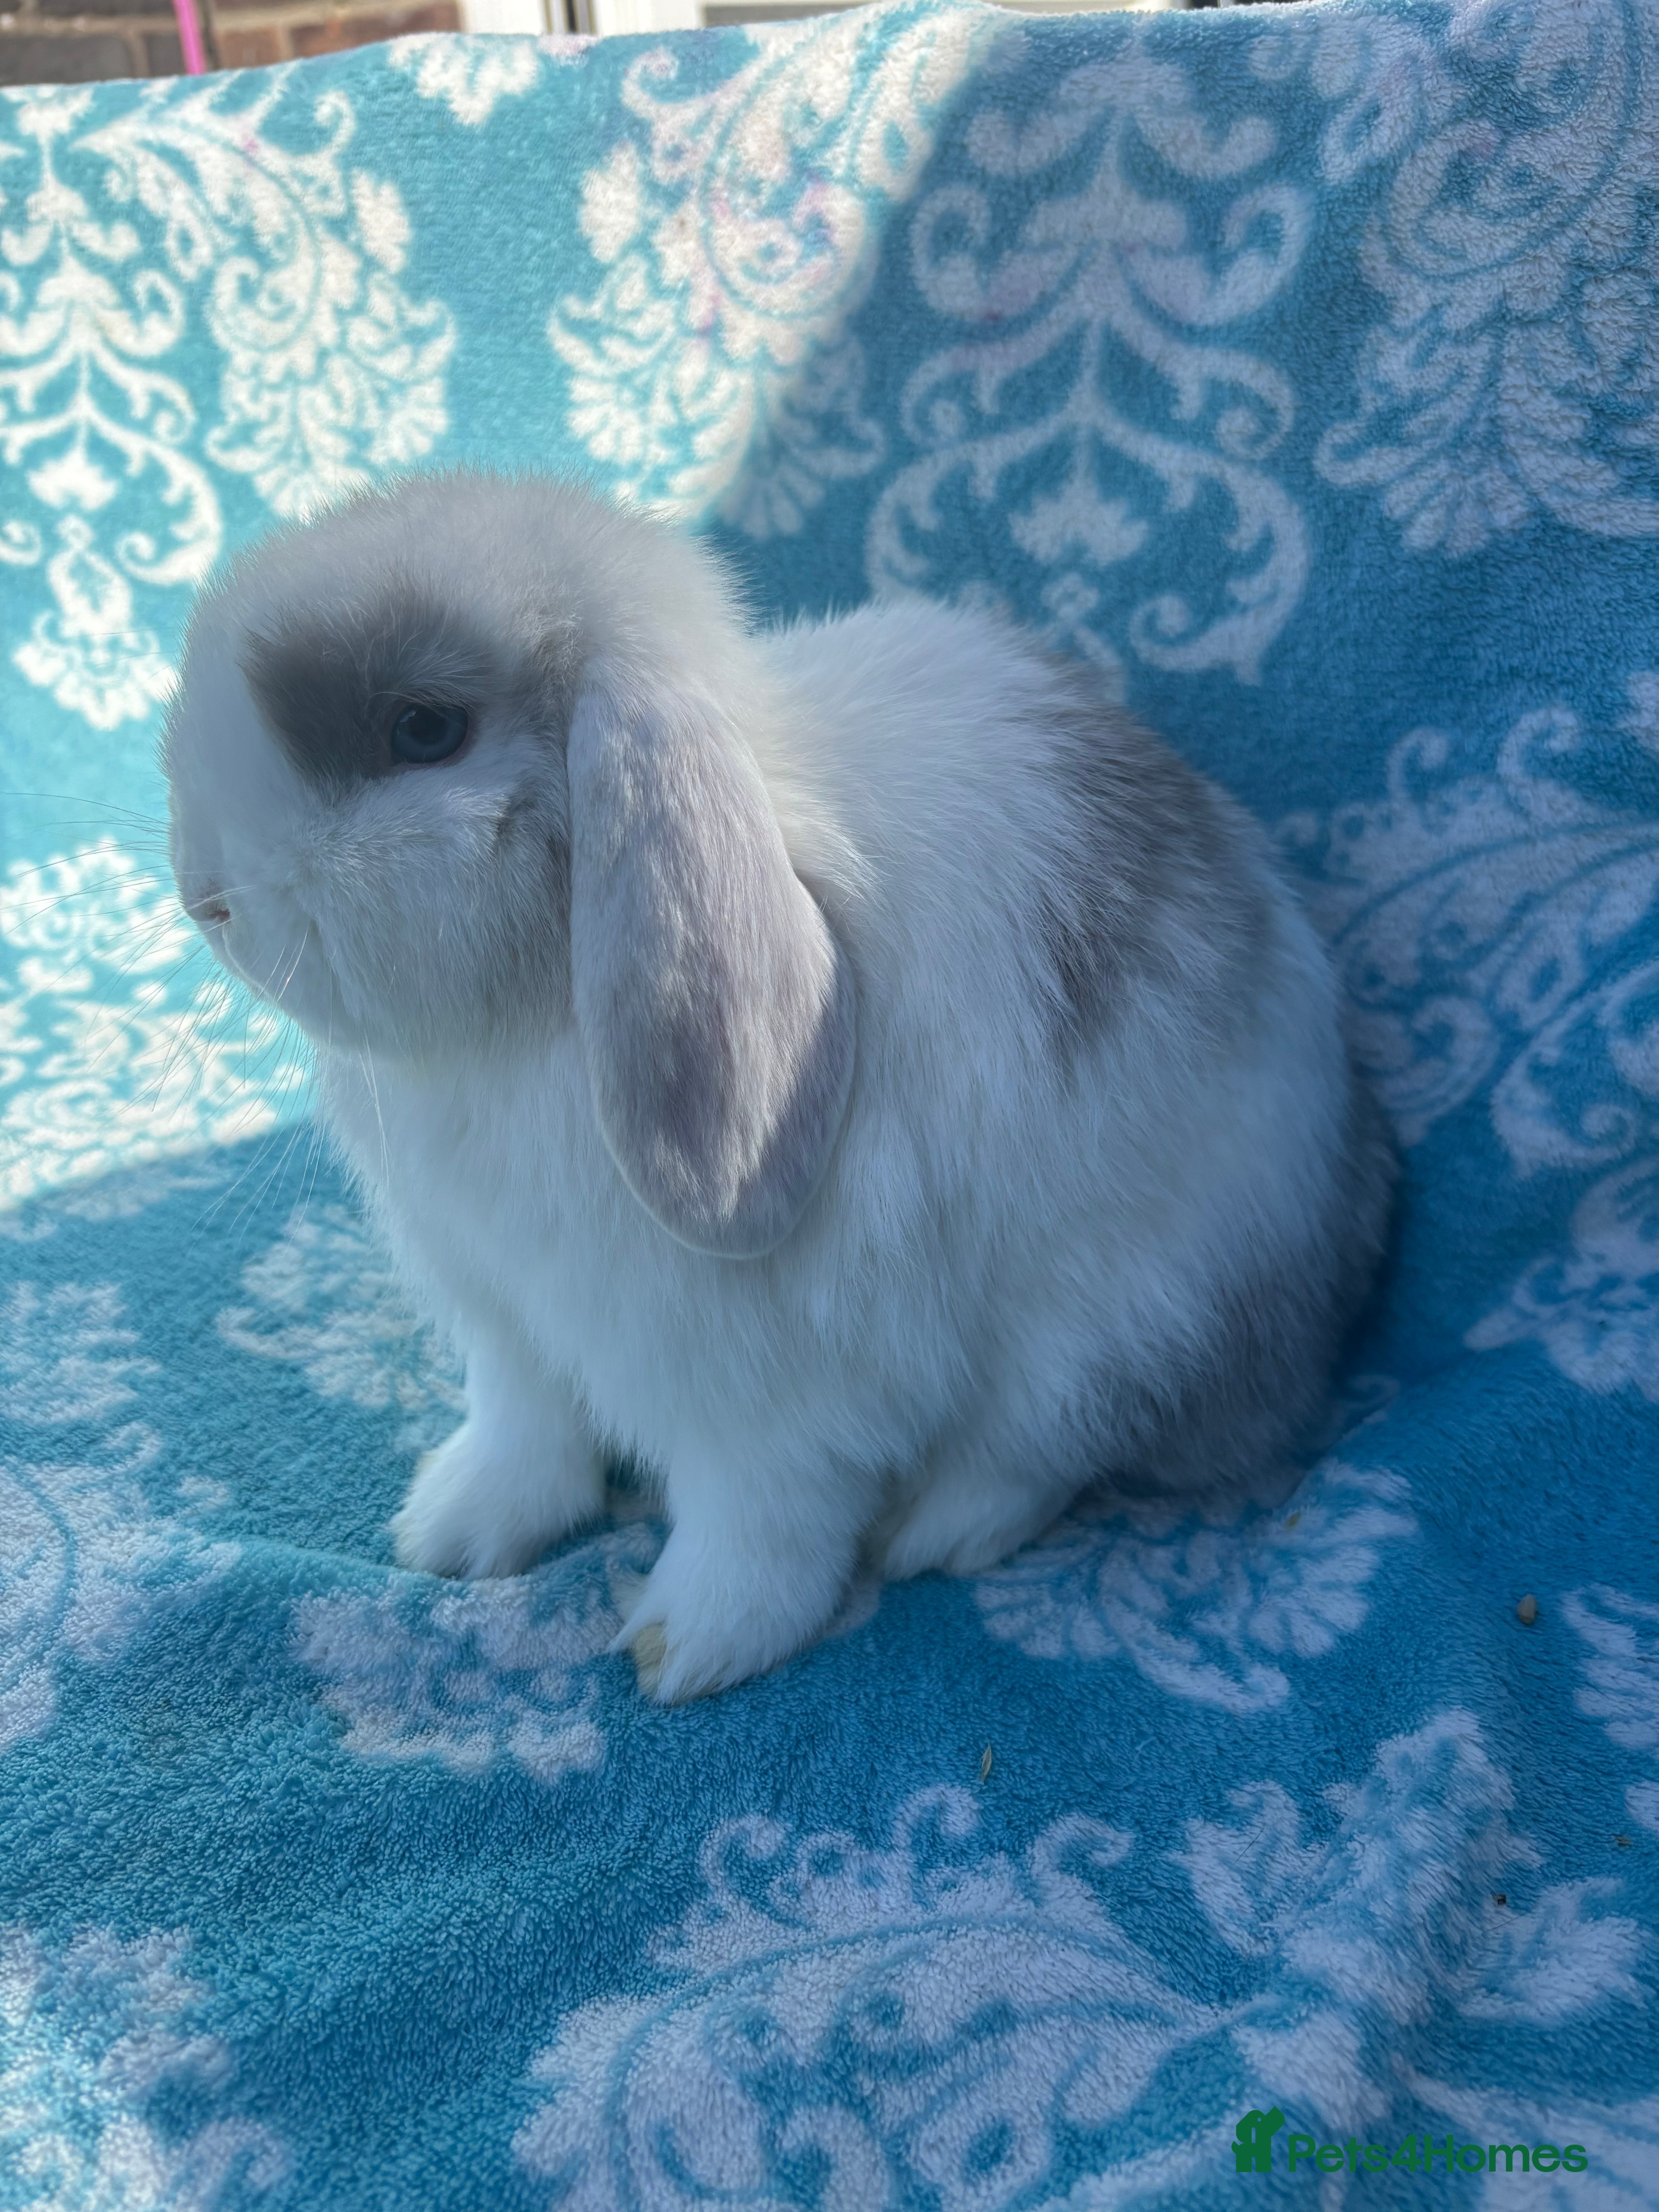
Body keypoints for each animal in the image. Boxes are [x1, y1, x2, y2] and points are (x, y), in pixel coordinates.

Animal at [164, 468, 1394, 1704]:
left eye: (423, 730)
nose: (201, 896)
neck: (514, 1028)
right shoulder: (507, 1321)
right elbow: (526, 1437)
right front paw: (452, 1534)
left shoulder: (766, 1395)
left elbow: (760, 1524)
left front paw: (692, 1645)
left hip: (1119, 1327)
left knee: (1043, 1451)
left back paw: (935, 1531)